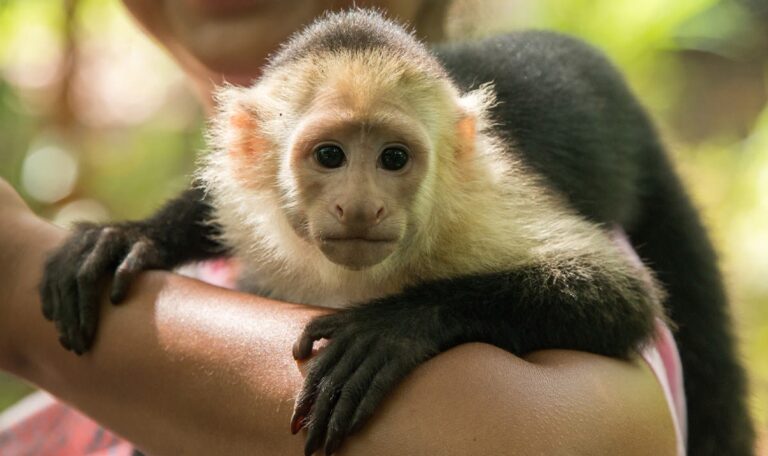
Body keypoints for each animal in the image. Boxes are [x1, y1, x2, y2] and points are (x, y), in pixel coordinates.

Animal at [39, 9, 753, 456]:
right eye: (330, 156)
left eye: (393, 159)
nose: (361, 209)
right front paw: (134, 236)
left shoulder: (475, 212)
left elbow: (619, 295)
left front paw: (394, 328)